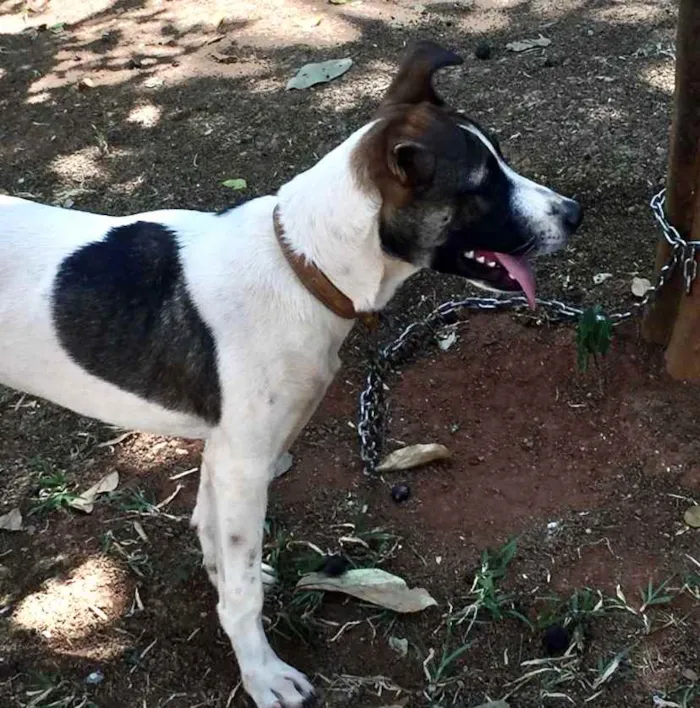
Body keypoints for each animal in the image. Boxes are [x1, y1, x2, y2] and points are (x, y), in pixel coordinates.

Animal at [0, 44, 580, 708]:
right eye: (482, 187)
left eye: (502, 159)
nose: (576, 214)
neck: (300, 265)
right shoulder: (246, 461)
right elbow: (242, 594)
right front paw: (260, 673)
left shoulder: (225, 452)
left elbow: (213, 534)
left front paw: (226, 582)